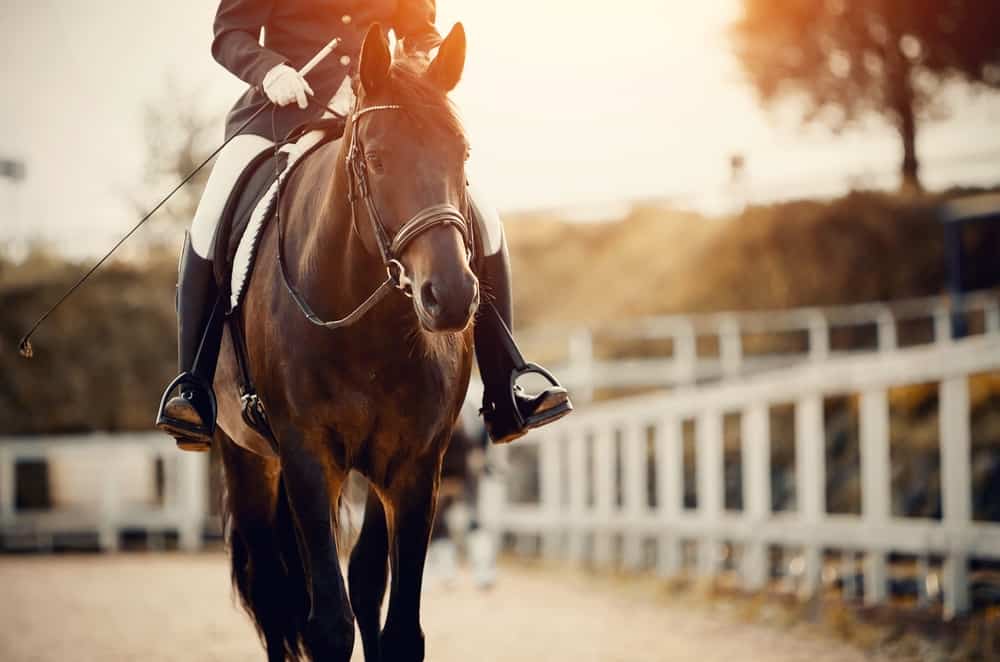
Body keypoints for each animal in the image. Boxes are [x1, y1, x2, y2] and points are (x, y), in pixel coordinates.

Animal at [213, 23, 476, 662]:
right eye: (377, 160)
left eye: (461, 154)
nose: (451, 296)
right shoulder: (308, 457)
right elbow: (328, 624)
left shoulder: (414, 464)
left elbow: (396, 623)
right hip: (248, 457)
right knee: (277, 596)